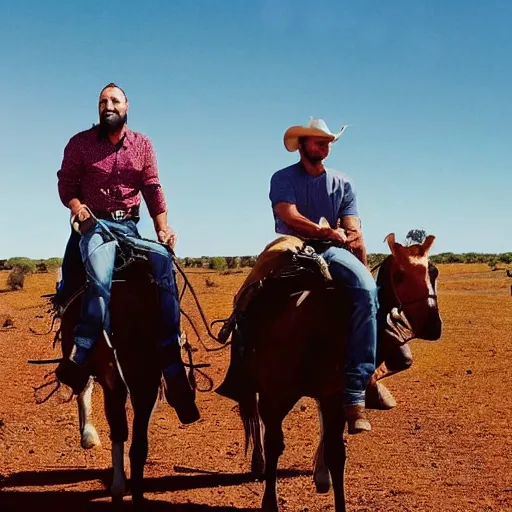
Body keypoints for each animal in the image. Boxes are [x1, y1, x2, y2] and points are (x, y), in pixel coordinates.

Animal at [230, 235, 442, 512]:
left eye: (433, 272)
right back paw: (259, 464)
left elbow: (336, 454)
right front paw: (270, 503)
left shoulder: (335, 396)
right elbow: (275, 443)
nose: (432, 325)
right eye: (399, 275)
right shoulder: (274, 395)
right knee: (256, 420)